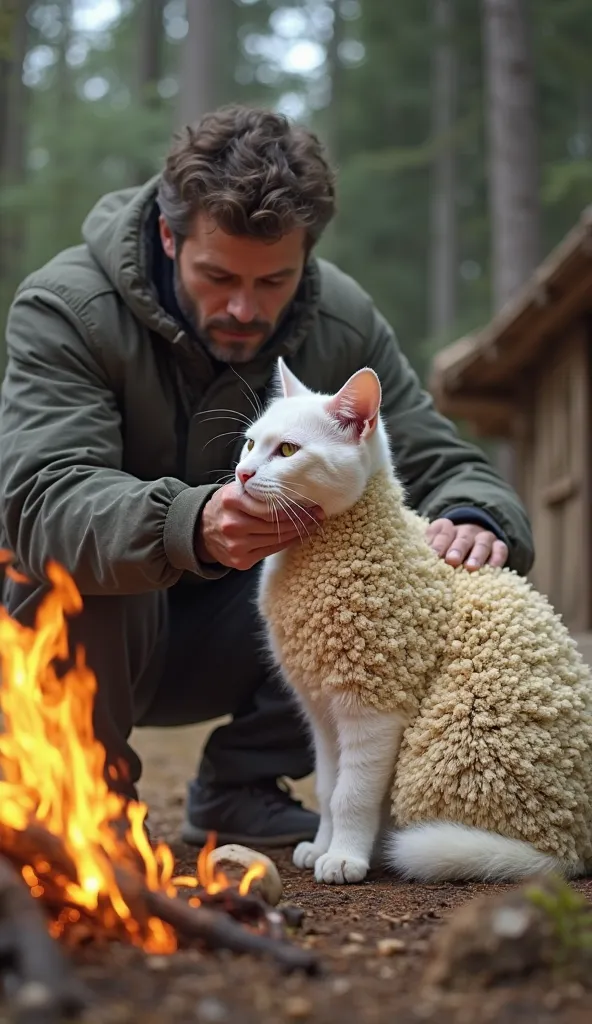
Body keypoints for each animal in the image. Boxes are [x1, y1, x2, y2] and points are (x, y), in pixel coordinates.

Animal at [233, 362, 589, 888]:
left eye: (288, 451)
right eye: (250, 443)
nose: (243, 474)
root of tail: (572, 843)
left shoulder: (374, 704)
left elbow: (350, 795)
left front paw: (345, 858)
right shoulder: (320, 710)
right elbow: (327, 787)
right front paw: (321, 846)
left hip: (442, 752)